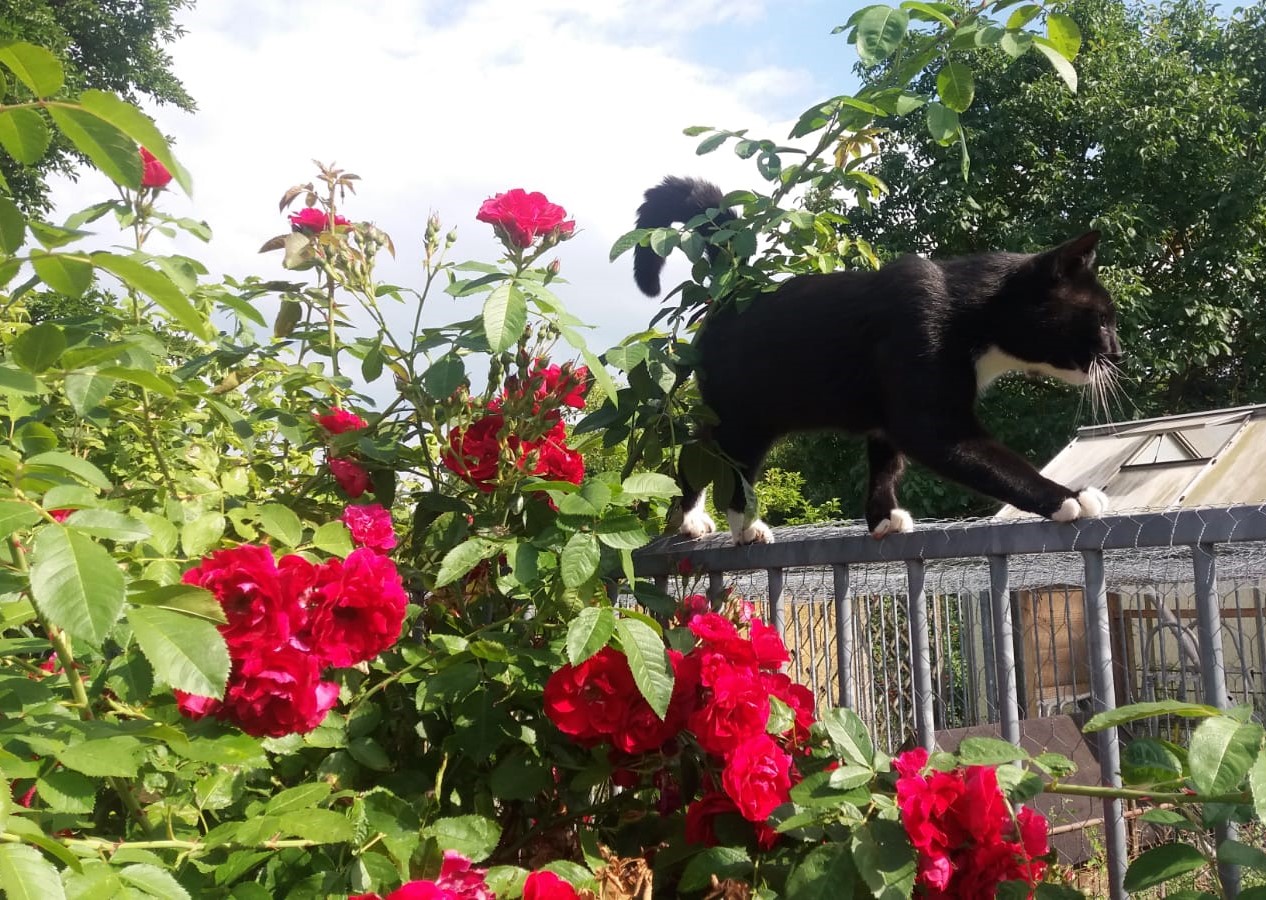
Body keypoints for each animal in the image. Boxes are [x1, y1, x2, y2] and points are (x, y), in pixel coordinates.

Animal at [630, 175, 1119, 541]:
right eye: (1101, 320)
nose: (1118, 351)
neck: (971, 312)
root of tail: (736, 284)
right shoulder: (929, 403)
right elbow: (994, 461)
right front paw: (1069, 497)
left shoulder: (890, 414)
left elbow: (886, 464)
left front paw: (882, 517)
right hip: (749, 412)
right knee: (732, 460)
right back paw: (746, 525)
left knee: (697, 445)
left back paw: (690, 517)